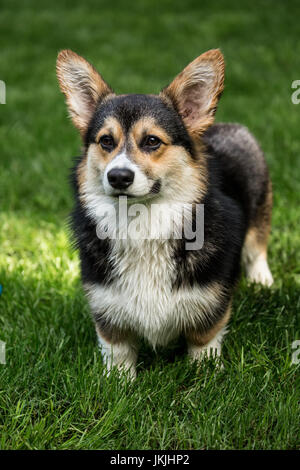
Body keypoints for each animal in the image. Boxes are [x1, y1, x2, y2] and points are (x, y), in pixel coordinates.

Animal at [56, 48, 274, 378]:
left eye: (152, 141)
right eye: (106, 141)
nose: (118, 176)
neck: (141, 223)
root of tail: (227, 126)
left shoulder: (211, 301)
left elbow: (204, 339)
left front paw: (205, 375)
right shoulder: (107, 308)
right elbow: (117, 350)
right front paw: (119, 382)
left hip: (260, 205)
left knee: (256, 247)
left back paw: (263, 280)